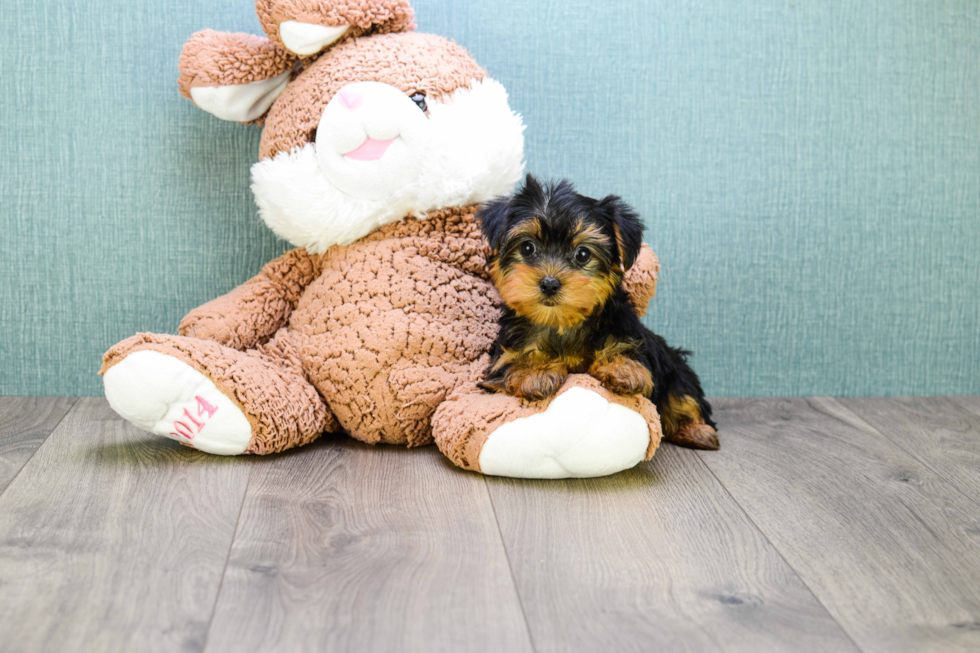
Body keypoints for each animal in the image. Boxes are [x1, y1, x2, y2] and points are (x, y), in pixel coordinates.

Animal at [476, 173, 716, 448]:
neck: (562, 322)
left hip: (675, 368)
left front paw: (623, 368)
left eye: (582, 254)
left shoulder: (625, 329)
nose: (549, 283)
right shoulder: (501, 360)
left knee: (683, 395)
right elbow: (514, 361)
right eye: (527, 248)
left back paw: (697, 431)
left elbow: (624, 348)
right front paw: (535, 371)